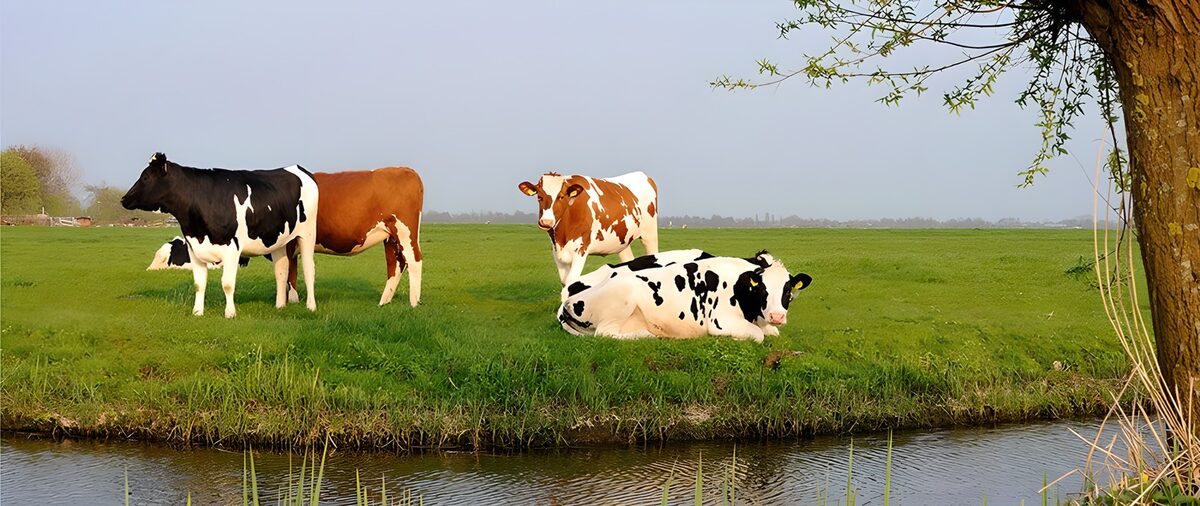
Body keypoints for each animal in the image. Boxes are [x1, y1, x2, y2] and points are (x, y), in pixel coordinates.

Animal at [121, 152, 319, 317]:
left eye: (145, 177)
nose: (124, 199)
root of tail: (299, 169)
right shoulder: (194, 249)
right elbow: (199, 284)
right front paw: (197, 312)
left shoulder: (232, 249)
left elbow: (227, 284)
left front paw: (230, 313)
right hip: (278, 240)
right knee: (281, 270)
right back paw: (280, 306)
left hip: (307, 234)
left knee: (309, 269)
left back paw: (311, 306)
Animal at [147, 167, 424, 307]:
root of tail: (404, 169)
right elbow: (289, 270)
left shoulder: (289, 242)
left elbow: (290, 271)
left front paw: (292, 300)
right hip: (391, 237)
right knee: (396, 265)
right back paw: (384, 302)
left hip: (405, 231)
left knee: (414, 261)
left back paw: (414, 302)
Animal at [518, 172, 659, 285]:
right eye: (539, 197)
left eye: (561, 196)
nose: (546, 222)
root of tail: (643, 175)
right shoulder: (557, 253)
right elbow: (564, 282)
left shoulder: (581, 250)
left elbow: (571, 281)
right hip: (622, 240)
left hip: (649, 234)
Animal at [557, 250, 812, 342]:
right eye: (762, 289)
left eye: (787, 290)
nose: (777, 316)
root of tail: (567, 302)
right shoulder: (720, 321)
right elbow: (758, 336)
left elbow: (770, 332)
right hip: (624, 296)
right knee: (605, 333)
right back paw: (647, 335)